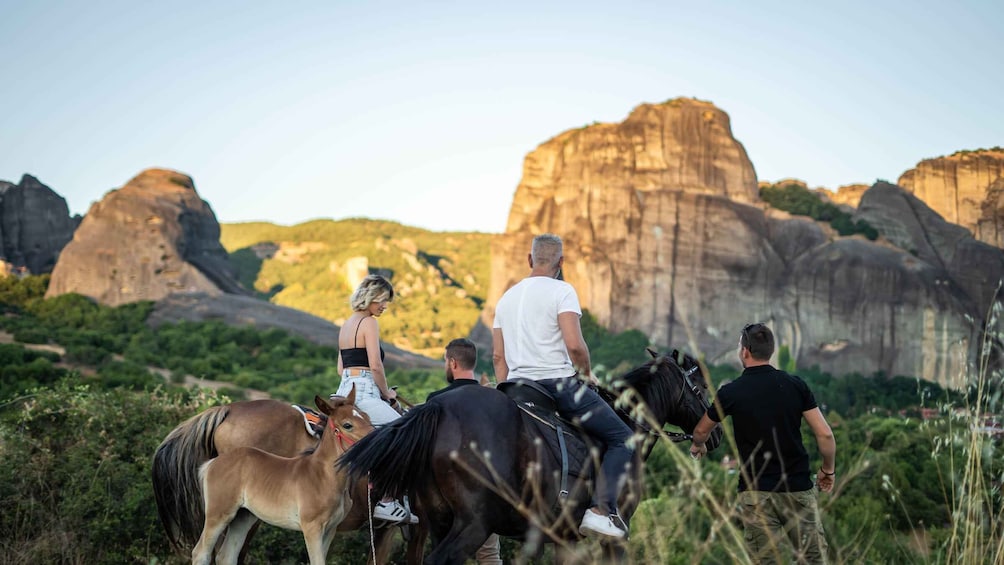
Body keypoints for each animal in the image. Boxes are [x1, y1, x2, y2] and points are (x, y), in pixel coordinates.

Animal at [150, 391, 401, 561]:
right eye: (347, 425)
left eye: (367, 416)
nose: (380, 443)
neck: (324, 476)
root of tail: (210, 464)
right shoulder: (312, 529)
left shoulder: (330, 530)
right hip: (220, 515)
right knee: (202, 552)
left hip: (244, 517)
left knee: (226, 556)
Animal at [341, 351, 718, 561]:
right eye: (702, 387)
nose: (713, 435)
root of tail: (438, 408)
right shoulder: (614, 539)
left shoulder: (565, 539)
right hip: (472, 526)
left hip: (439, 523)